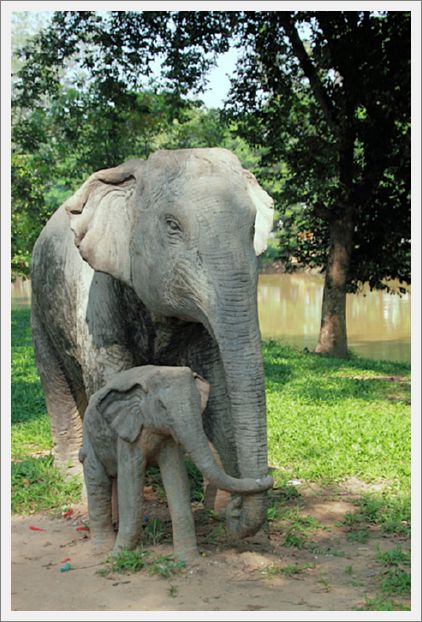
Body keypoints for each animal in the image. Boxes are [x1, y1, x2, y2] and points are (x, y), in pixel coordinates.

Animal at [29, 147, 274, 540]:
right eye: (172, 225)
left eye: (252, 228)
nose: (240, 507)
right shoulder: (97, 303)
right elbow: (109, 381)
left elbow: (220, 391)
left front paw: (223, 510)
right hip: (40, 304)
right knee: (56, 384)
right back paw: (70, 475)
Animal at [78, 368, 274, 564]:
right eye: (162, 406)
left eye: (197, 403)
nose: (269, 479)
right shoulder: (129, 435)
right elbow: (131, 482)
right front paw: (117, 556)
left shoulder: (167, 438)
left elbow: (176, 477)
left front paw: (189, 560)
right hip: (90, 435)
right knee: (97, 479)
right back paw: (102, 548)